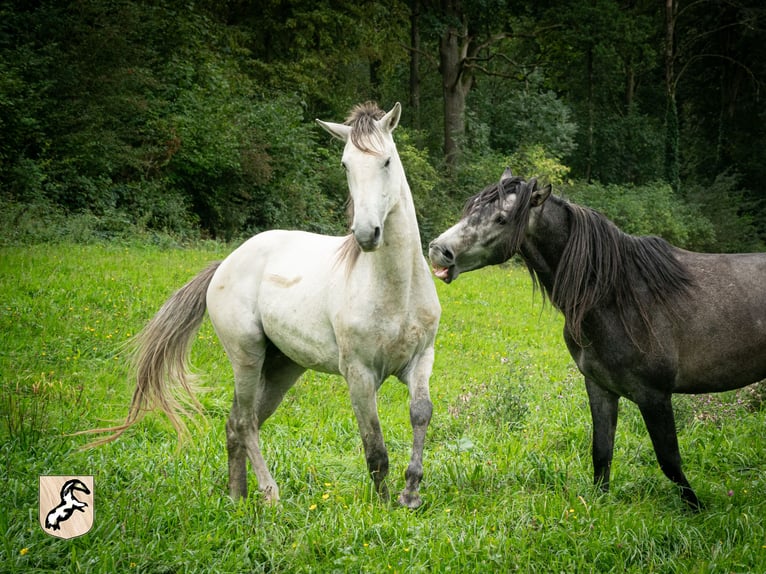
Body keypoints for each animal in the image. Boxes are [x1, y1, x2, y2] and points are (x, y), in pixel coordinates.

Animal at [87, 101, 440, 510]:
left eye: (386, 161)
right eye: (345, 165)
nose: (367, 234)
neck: (395, 288)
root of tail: (225, 263)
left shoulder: (420, 359)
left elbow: (420, 413)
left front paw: (410, 493)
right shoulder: (359, 374)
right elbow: (375, 446)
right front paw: (383, 505)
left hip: (281, 368)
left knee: (237, 422)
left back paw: (236, 497)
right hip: (247, 357)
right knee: (245, 423)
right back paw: (269, 495)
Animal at [432, 169, 766, 510]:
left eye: (501, 218)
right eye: (470, 208)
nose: (438, 250)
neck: (618, 296)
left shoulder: (654, 396)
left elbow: (669, 460)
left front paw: (695, 509)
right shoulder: (600, 388)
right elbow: (602, 452)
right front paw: (598, 506)